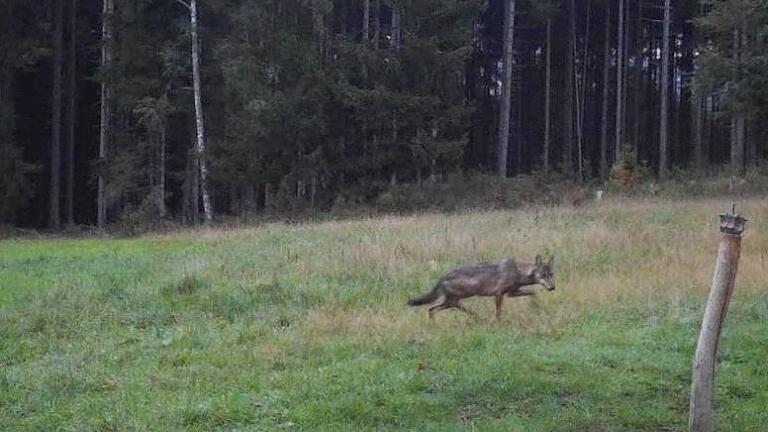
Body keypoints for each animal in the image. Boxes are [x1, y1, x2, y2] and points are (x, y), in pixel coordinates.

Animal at [404, 255, 556, 318]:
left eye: (551, 274)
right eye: (543, 275)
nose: (553, 288)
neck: (518, 271)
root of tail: (442, 278)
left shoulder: (511, 293)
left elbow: (533, 293)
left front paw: (536, 307)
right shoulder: (499, 294)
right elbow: (498, 312)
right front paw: (499, 322)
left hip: (453, 301)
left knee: (432, 309)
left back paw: (476, 316)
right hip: (455, 299)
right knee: (432, 309)